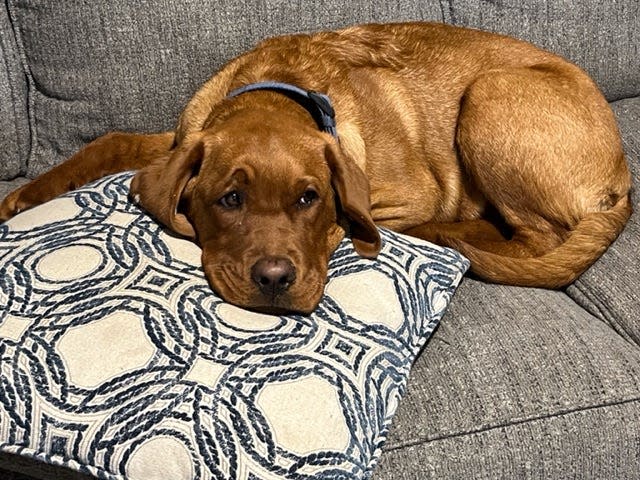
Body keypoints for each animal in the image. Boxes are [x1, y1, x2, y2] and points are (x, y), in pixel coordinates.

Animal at [0, 22, 632, 314]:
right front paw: (25, 196)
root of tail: (623, 172)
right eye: (229, 200)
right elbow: (110, 141)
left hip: (489, 95)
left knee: (534, 237)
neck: (278, 88)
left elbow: (359, 217)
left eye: (310, 198)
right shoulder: (181, 134)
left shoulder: (412, 194)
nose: (276, 282)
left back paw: (445, 236)